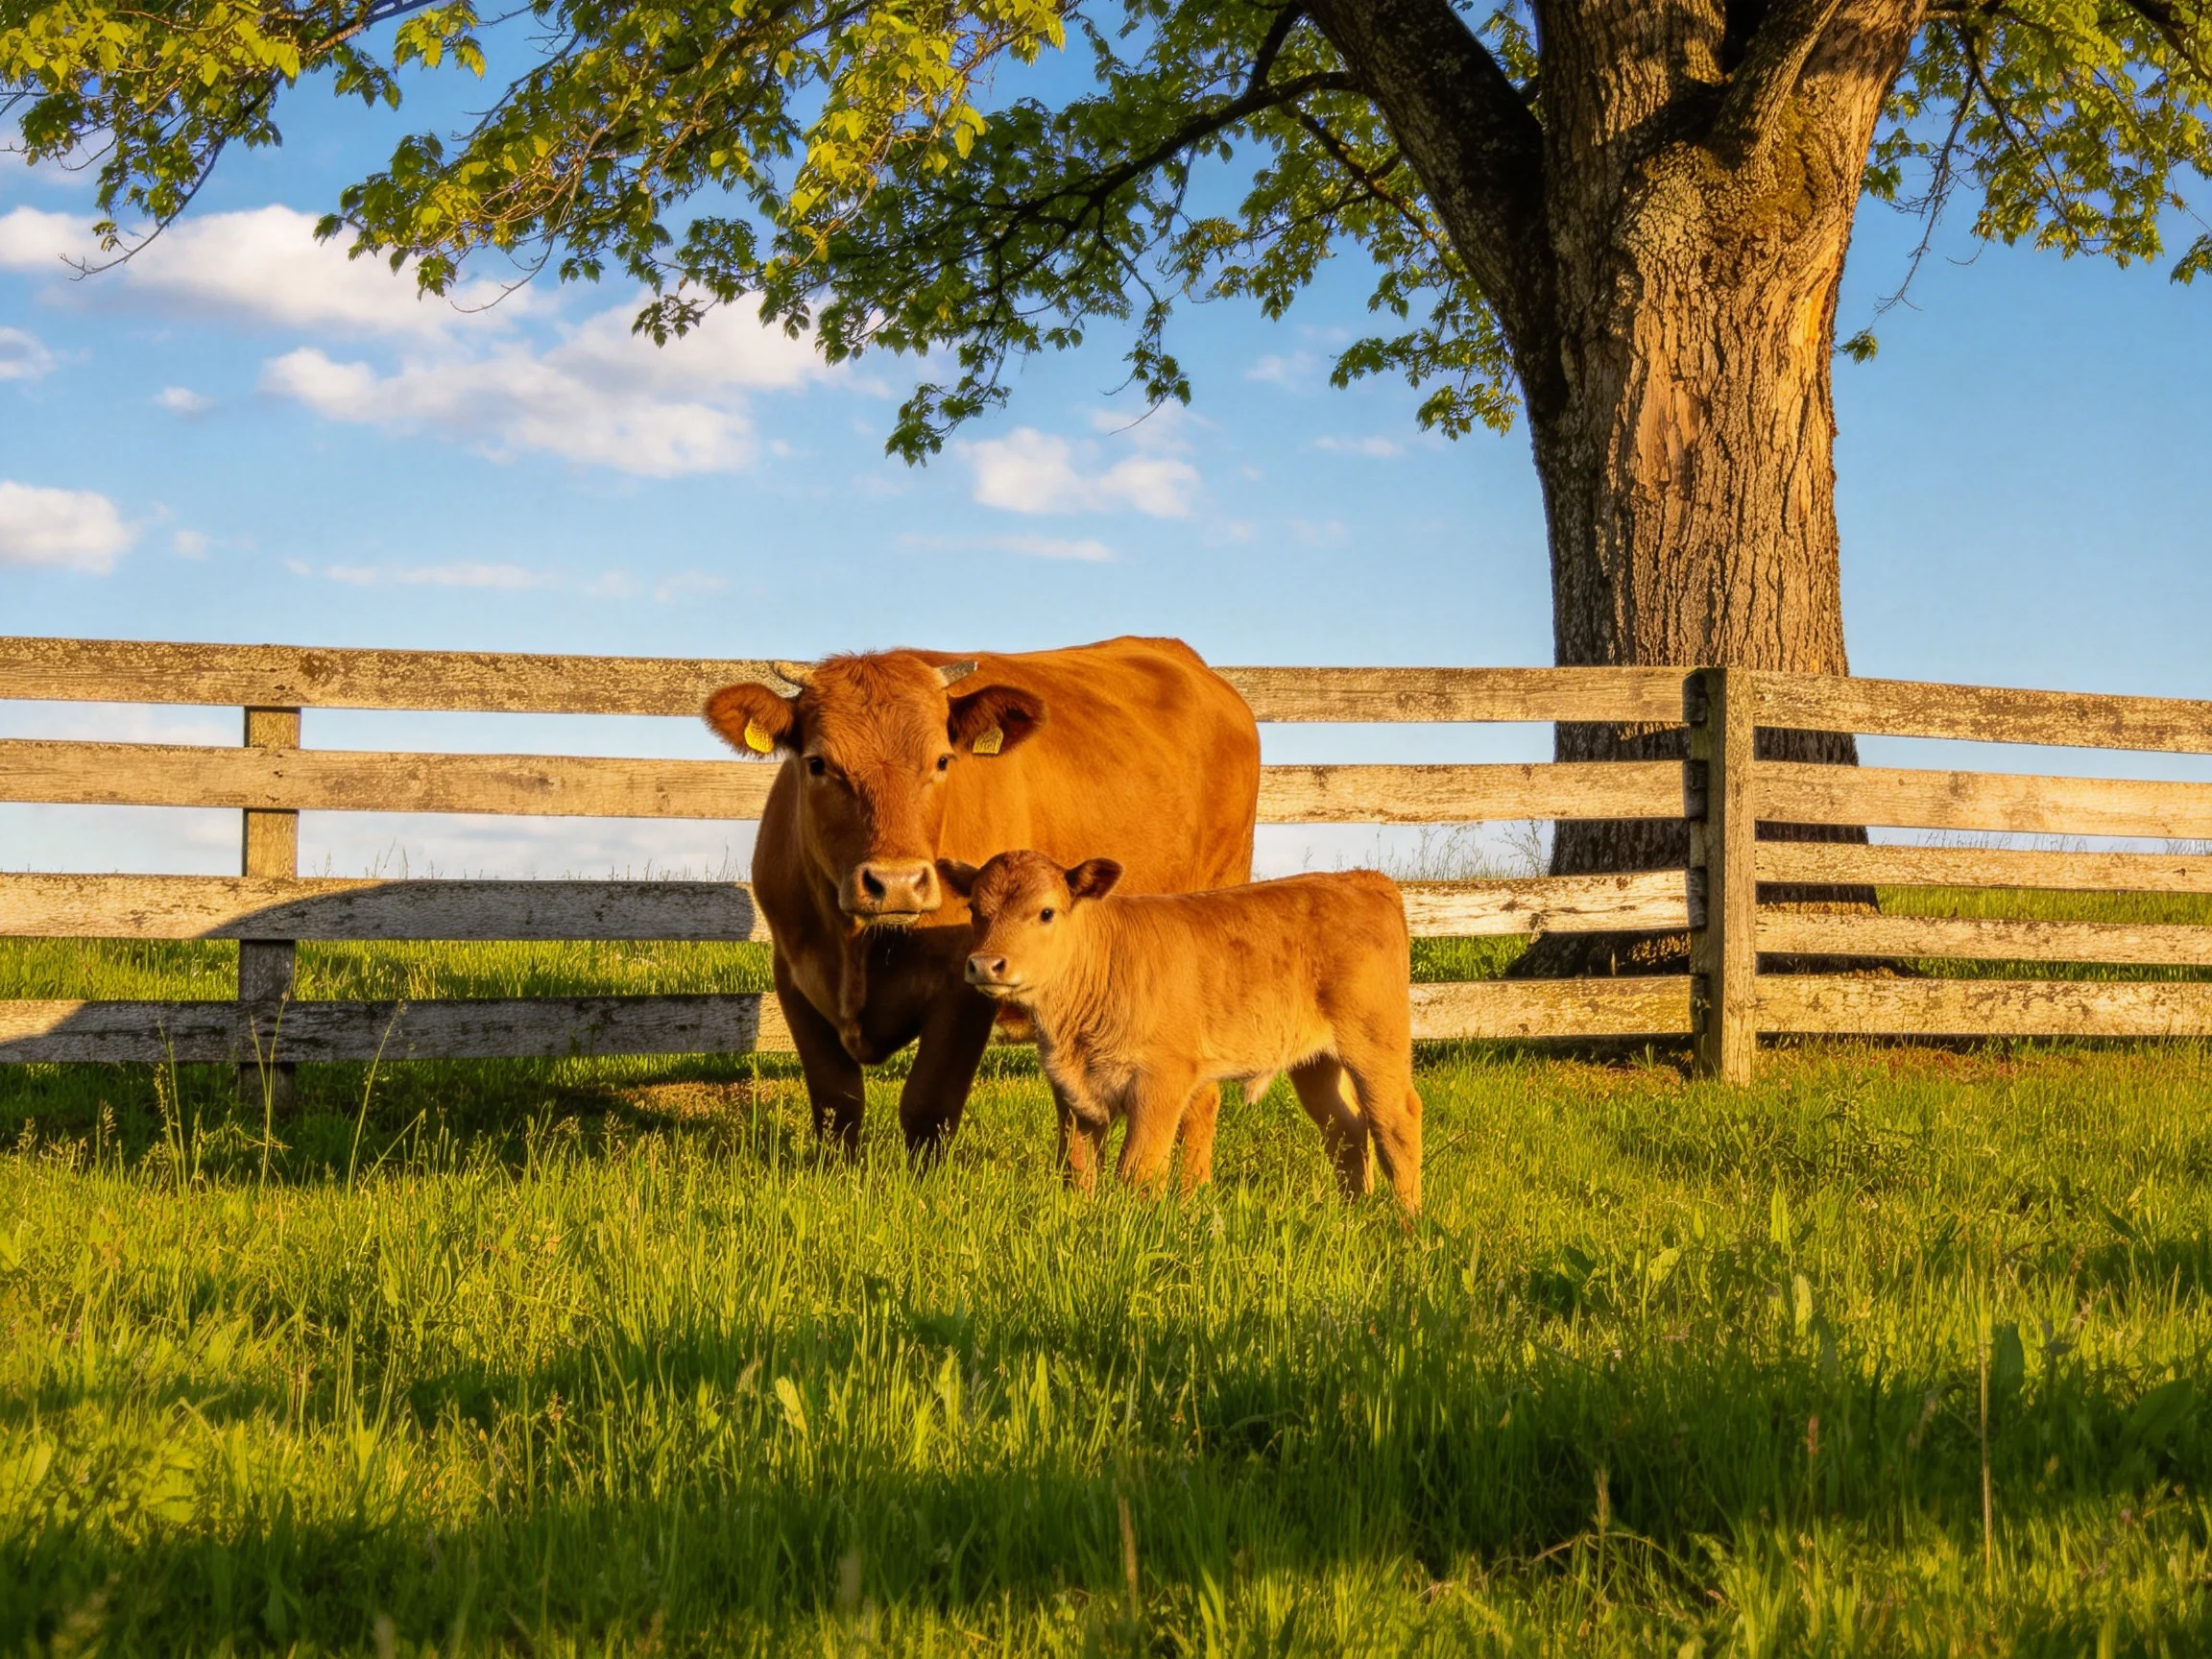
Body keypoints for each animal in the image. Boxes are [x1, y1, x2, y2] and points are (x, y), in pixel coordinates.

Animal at [703, 638, 1260, 1158]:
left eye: (942, 760)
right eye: (818, 763)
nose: (896, 883)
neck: (860, 947)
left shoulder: (967, 981)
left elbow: (928, 1107)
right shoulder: (795, 976)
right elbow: (837, 1107)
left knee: (1203, 1094)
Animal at [937, 851, 1424, 1211]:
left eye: (1045, 912)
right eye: (975, 910)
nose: (985, 964)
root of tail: (1359, 879)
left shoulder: (1161, 1081)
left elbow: (1137, 1168)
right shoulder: (1073, 1091)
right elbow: (1078, 1169)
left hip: (1375, 1042)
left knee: (1396, 1119)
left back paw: (1407, 1220)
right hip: (1317, 1061)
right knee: (1346, 1128)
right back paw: (1353, 1212)